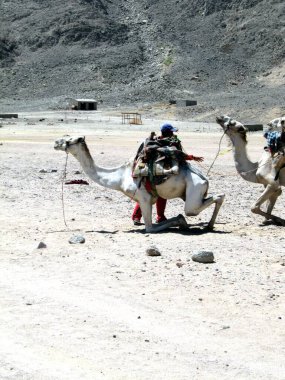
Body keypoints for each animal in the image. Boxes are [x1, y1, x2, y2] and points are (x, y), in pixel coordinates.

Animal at [53, 135, 224, 233]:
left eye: (68, 141)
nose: (55, 143)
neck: (119, 177)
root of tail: (205, 178)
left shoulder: (144, 199)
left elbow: (150, 228)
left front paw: (180, 221)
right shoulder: (149, 199)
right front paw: (180, 222)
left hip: (194, 189)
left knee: (195, 208)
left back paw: (208, 225)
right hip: (191, 192)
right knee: (217, 196)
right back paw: (209, 225)